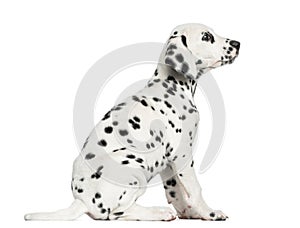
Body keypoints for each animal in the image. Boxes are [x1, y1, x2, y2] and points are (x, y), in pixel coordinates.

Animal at [24, 23, 240, 221]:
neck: (171, 85)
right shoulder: (183, 155)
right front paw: (209, 213)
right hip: (134, 165)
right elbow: (195, 189)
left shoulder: (168, 161)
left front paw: (190, 213)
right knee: (116, 213)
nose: (237, 43)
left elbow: (175, 191)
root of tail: (82, 201)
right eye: (207, 37)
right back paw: (158, 212)